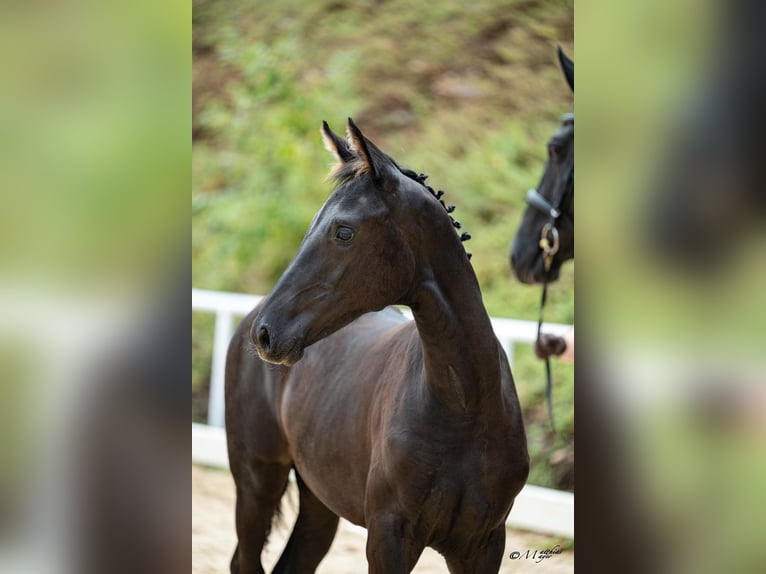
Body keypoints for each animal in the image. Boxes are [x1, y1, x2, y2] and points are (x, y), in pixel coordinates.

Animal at [225, 118, 529, 574]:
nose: (266, 333)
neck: (466, 409)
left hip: (319, 502)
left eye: (343, 231)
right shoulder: (388, 539)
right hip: (256, 483)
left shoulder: (483, 545)